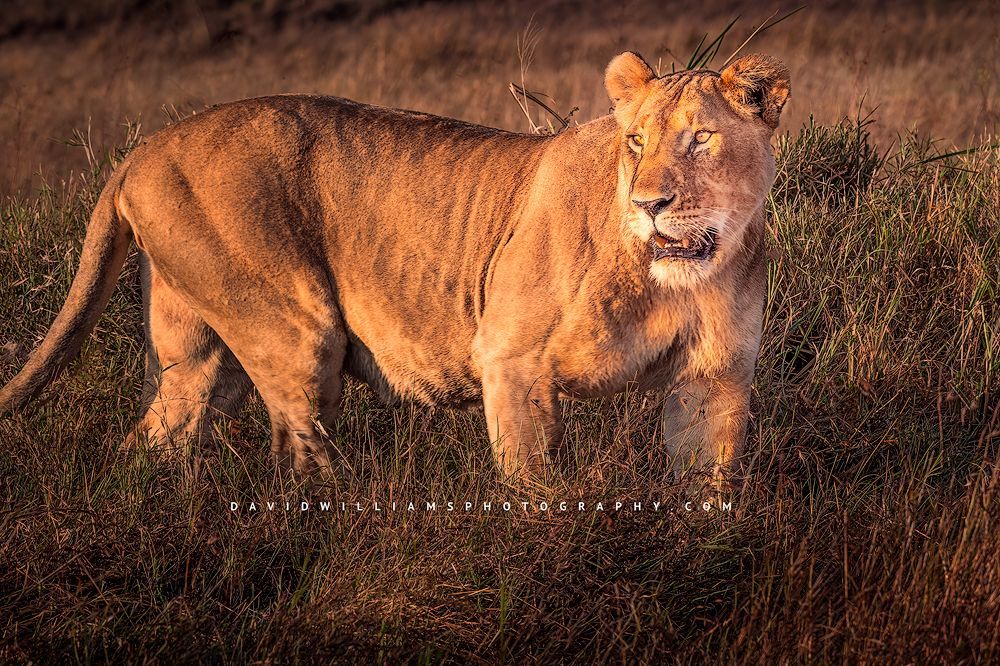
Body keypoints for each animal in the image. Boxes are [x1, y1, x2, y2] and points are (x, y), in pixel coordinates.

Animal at [0, 52, 789, 484]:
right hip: (298, 331)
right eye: (635, 141)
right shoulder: (511, 360)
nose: (651, 203)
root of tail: (143, 147)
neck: (675, 281)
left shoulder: (714, 378)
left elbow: (707, 493)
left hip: (197, 361)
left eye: (700, 139)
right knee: (299, 455)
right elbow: (537, 490)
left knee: (154, 439)